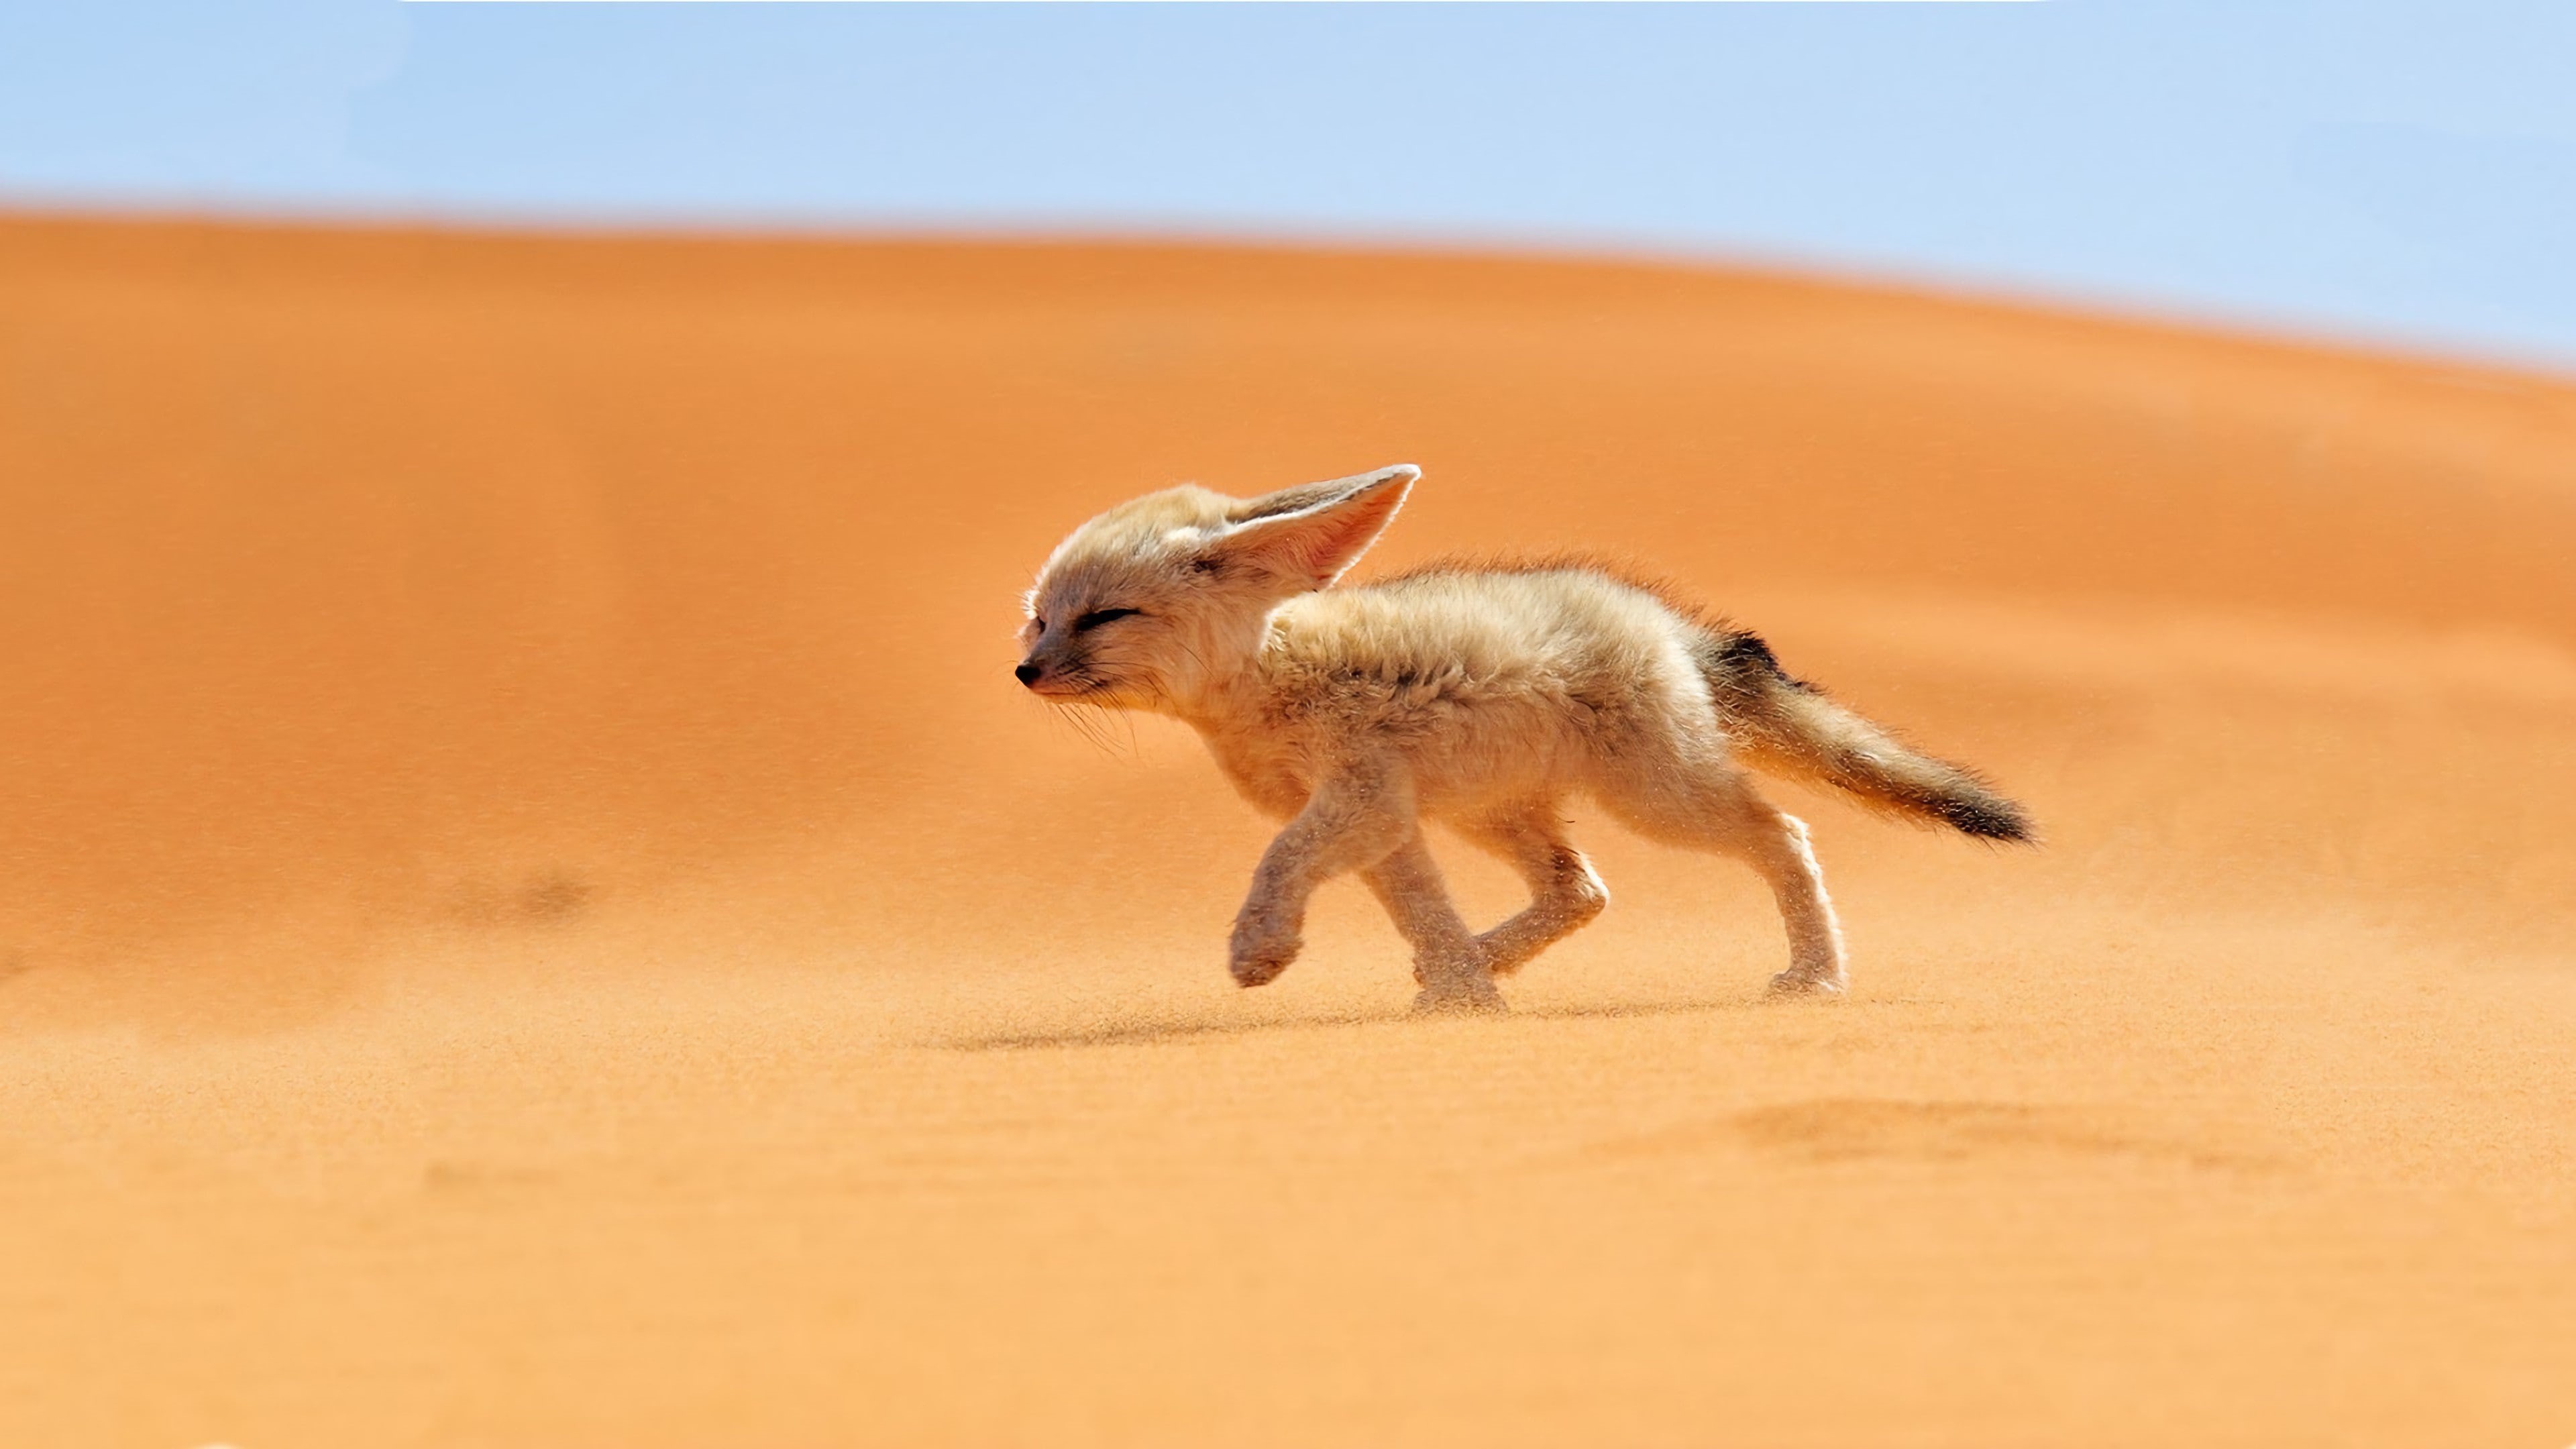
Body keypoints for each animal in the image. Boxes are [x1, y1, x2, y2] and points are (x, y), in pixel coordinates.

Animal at [1015, 464, 2030, 1012]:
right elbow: (1421, 910)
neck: (1270, 675)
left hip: (1658, 801)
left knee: (1784, 834)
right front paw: (1464, 995)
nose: (1025, 672)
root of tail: (1665, 621)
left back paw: (1817, 976)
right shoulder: (1386, 820)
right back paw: (1481, 961)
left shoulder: (1359, 799)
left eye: (1104, 617)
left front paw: (1260, 948)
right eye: (1040, 620)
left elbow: (1279, 861)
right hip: (1494, 813)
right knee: (1582, 890)